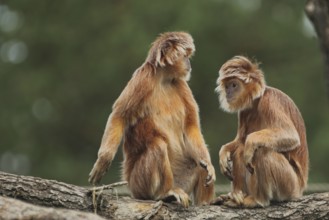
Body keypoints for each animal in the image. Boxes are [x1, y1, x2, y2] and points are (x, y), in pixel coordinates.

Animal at [88, 31, 215, 207]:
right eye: (185, 56)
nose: (189, 63)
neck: (163, 79)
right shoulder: (144, 78)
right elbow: (119, 115)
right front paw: (103, 161)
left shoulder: (181, 84)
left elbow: (191, 127)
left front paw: (208, 164)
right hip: (138, 183)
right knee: (158, 146)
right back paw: (164, 193)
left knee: (198, 164)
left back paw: (205, 202)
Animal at [213, 55, 308, 207]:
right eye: (227, 86)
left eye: (234, 85)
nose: (228, 92)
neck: (257, 100)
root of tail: (300, 190)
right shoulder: (244, 112)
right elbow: (239, 140)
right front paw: (224, 152)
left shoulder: (270, 101)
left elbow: (291, 136)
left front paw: (250, 143)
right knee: (240, 149)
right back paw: (235, 196)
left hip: (290, 185)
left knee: (261, 151)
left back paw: (257, 200)